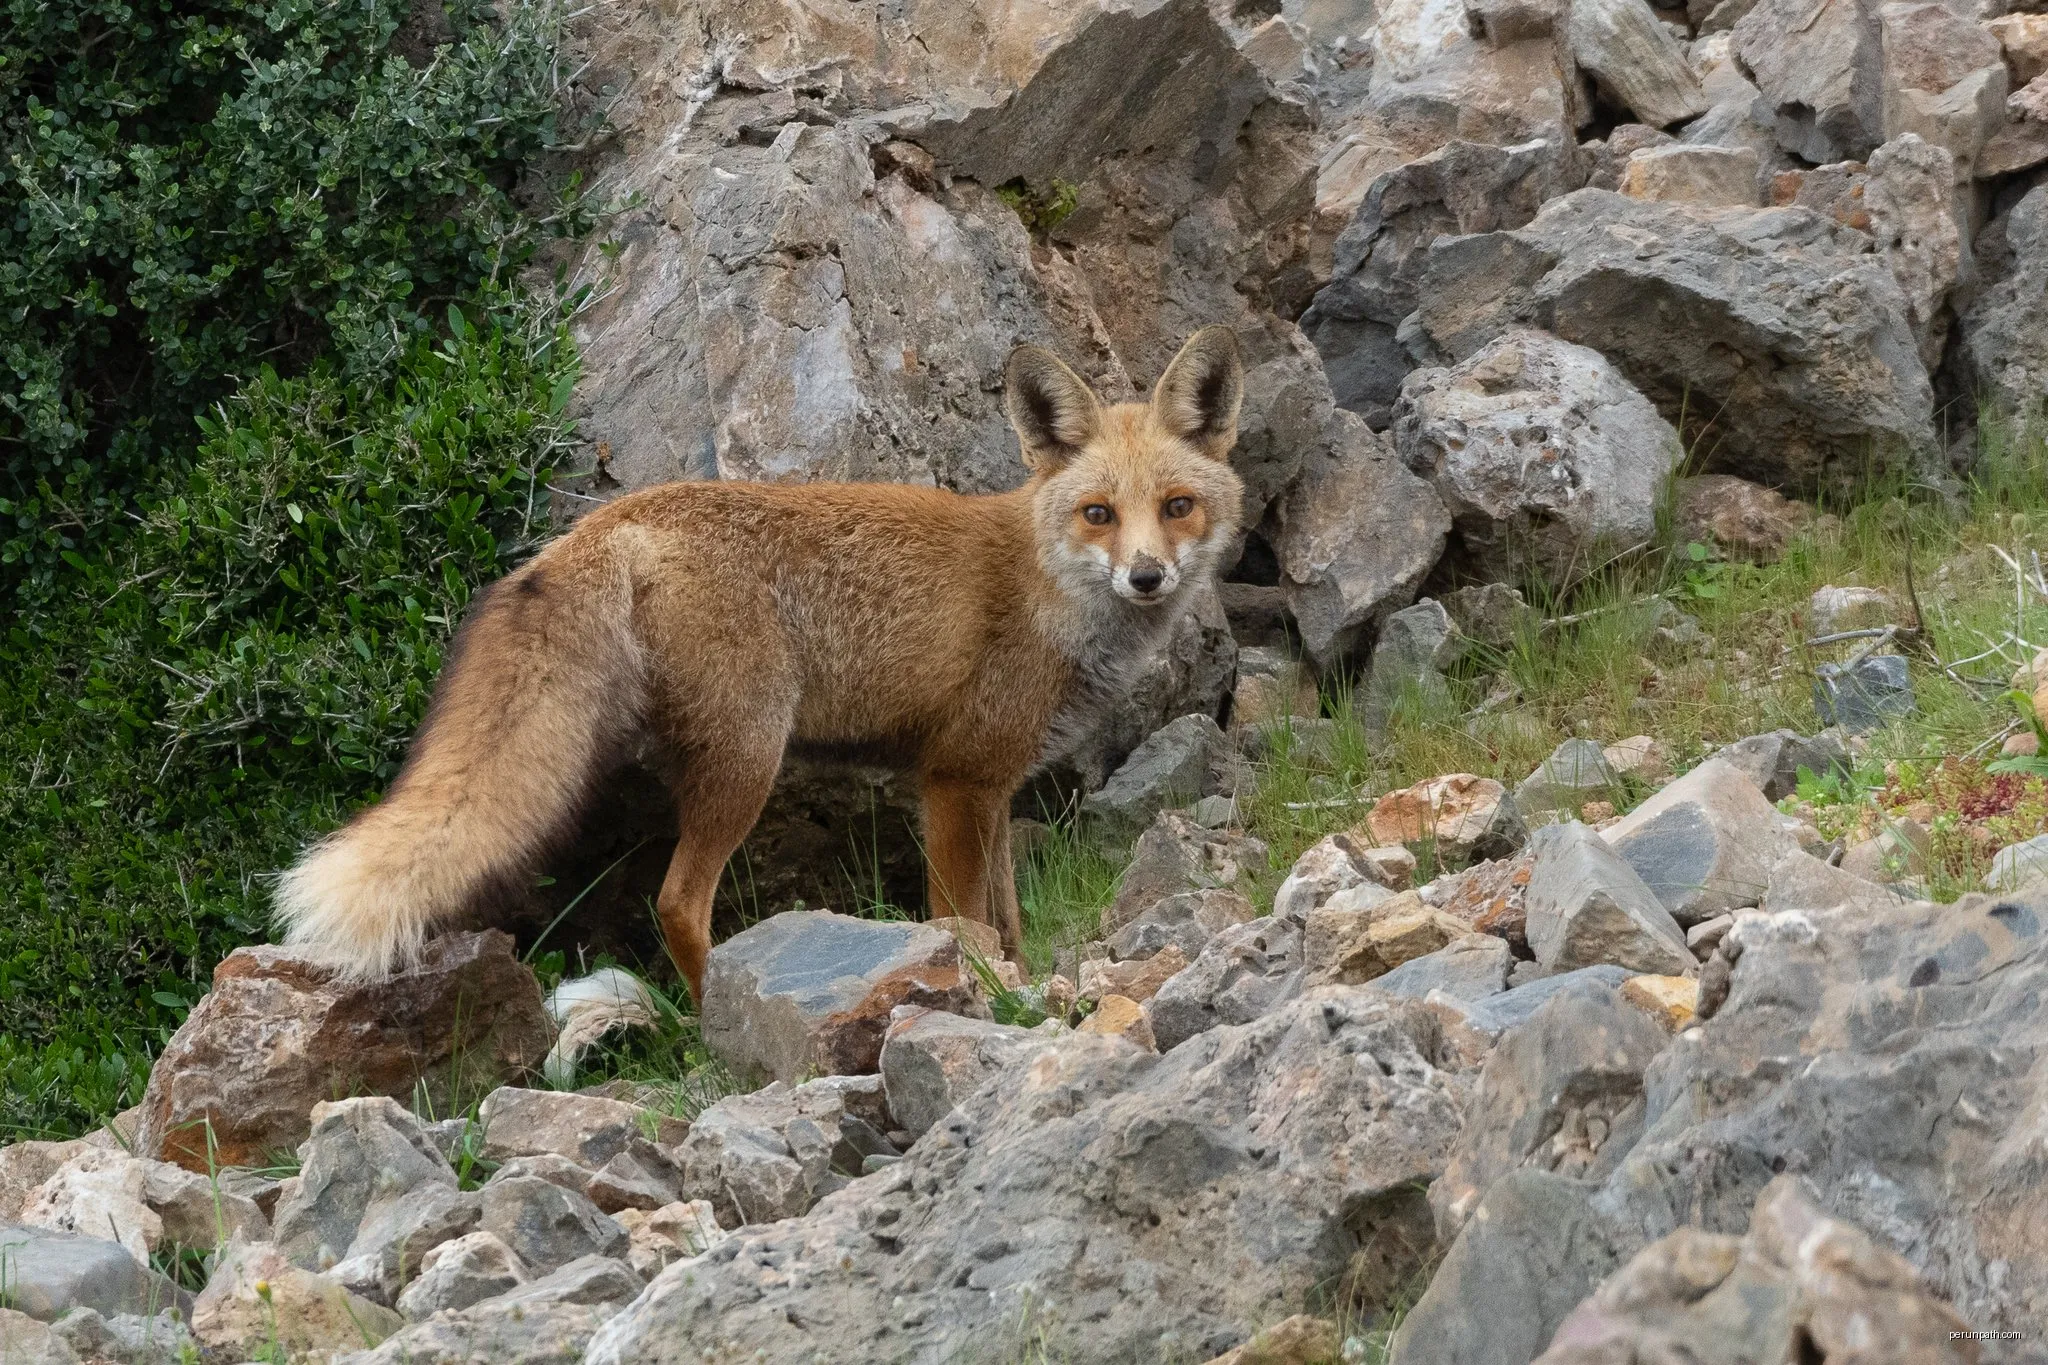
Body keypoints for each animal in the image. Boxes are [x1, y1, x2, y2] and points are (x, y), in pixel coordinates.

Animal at [274, 326, 1247, 1004]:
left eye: (1177, 506)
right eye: (1098, 513)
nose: (1148, 576)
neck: (1047, 590)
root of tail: (607, 523)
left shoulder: (992, 784)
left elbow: (1006, 922)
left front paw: (1019, 977)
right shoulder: (955, 780)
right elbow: (960, 919)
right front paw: (981, 991)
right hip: (750, 759)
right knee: (677, 902)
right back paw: (717, 1018)